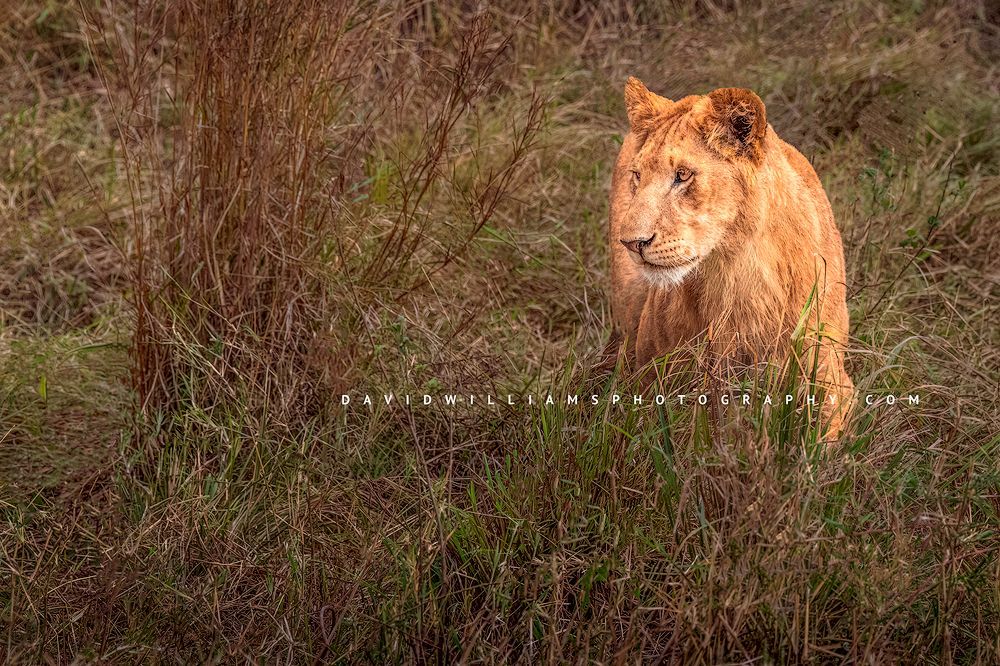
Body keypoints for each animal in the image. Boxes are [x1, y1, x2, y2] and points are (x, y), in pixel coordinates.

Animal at [609, 77, 854, 437]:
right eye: (637, 176)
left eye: (683, 175)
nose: (631, 243)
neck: (733, 273)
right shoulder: (653, 382)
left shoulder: (832, 380)